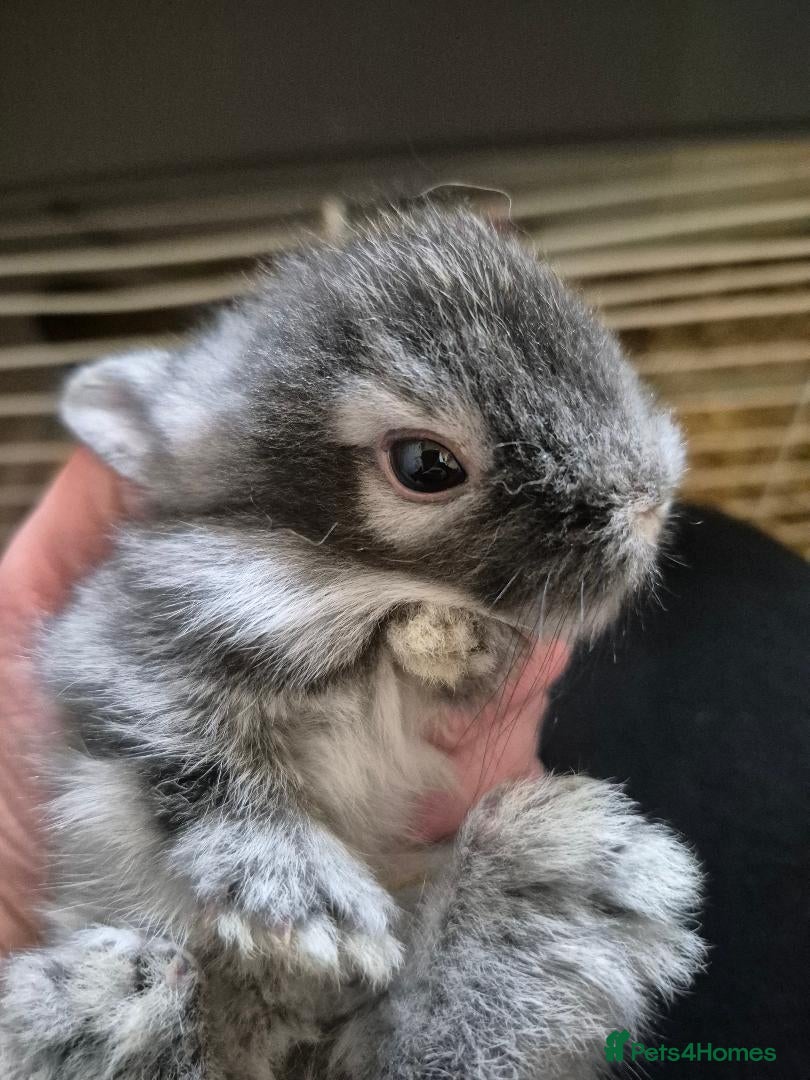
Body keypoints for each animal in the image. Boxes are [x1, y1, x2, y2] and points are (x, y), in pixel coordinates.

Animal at [0, 207, 704, 1080]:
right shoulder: (134, 656)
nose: (650, 500)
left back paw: (556, 879)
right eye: (425, 465)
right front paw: (314, 910)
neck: (343, 579)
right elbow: (198, 762)